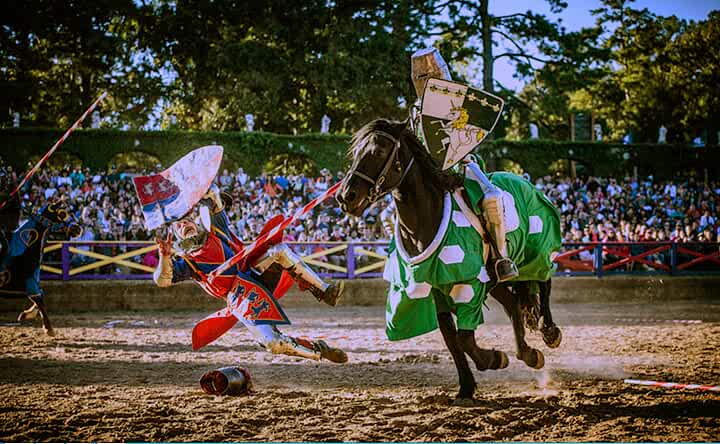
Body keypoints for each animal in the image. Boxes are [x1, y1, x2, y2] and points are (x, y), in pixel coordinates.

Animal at [0, 199, 82, 336]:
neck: (25, 247)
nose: (78, 228)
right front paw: (49, 328)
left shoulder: (32, 283)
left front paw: (27, 314)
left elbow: (41, 295)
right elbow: (40, 300)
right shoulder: (29, 282)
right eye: (62, 213)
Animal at [336, 118, 563, 403]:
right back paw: (528, 354)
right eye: (356, 153)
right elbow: (451, 339)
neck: (426, 218)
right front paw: (466, 387)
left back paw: (550, 331)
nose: (346, 197)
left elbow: (464, 339)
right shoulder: (434, 289)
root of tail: (524, 181)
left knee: (544, 282)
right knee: (514, 305)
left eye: (378, 151)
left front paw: (493, 359)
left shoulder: (469, 283)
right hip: (496, 280)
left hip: (535, 252)